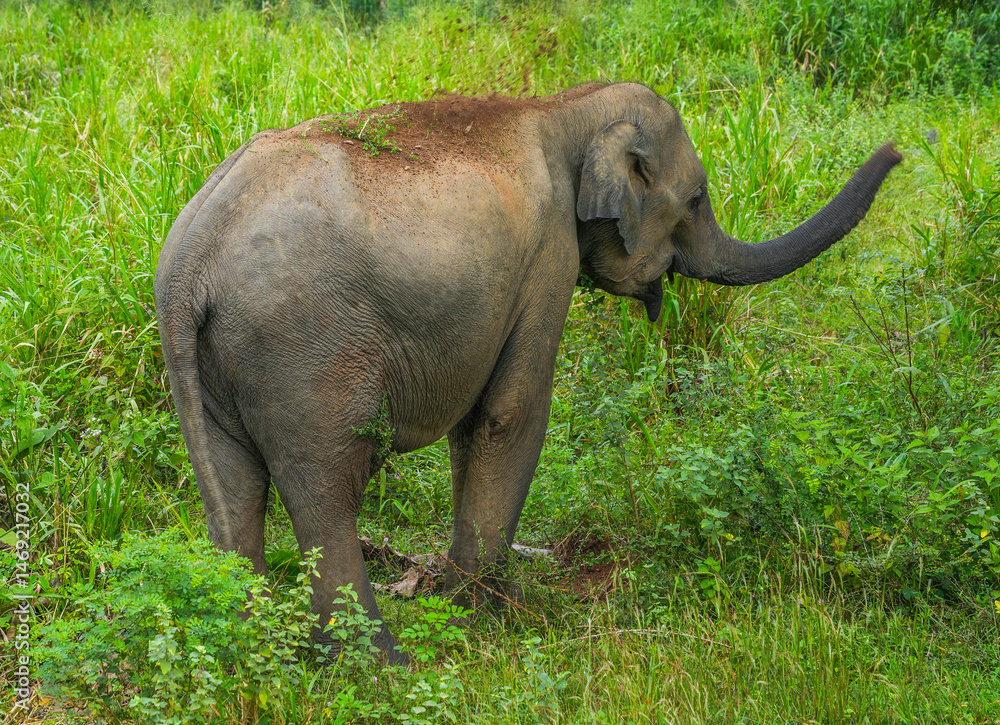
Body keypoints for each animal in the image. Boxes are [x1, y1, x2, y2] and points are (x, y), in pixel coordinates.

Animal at [155, 82, 901, 662]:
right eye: (694, 201)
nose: (897, 150)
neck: (567, 105)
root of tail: (192, 256)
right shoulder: (548, 256)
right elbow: (510, 411)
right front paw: (492, 612)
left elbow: (476, 424)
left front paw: (463, 600)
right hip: (303, 351)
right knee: (328, 489)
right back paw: (381, 663)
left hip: (212, 361)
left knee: (235, 492)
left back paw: (255, 652)